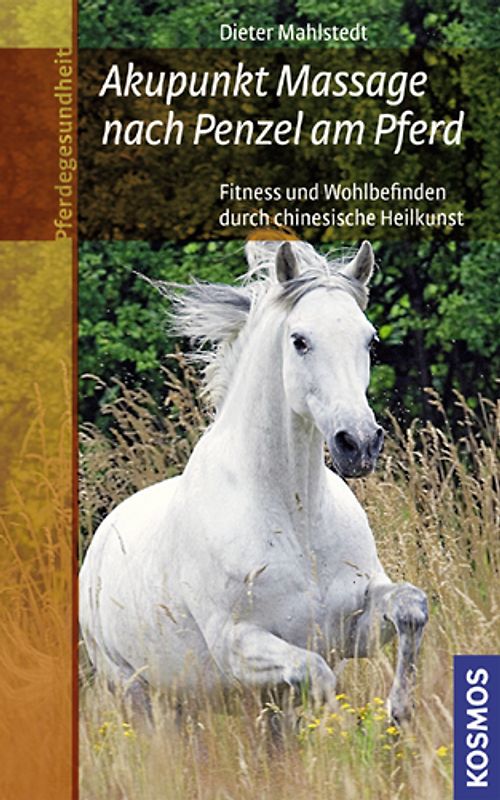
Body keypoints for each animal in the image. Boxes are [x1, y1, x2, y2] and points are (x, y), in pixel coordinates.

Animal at [79, 239, 428, 724]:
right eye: (299, 340)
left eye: (370, 339)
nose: (358, 443)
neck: (296, 520)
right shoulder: (238, 646)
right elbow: (319, 676)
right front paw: (343, 728)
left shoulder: (353, 629)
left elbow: (413, 606)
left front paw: (399, 712)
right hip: (141, 697)